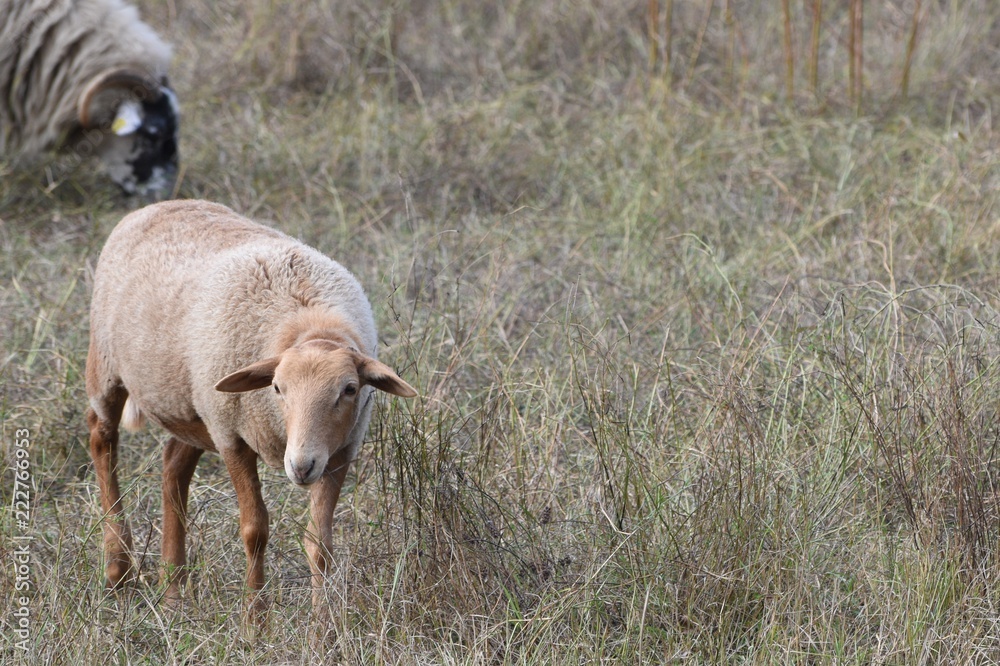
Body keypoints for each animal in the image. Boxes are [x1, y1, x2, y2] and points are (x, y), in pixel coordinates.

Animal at [83, 198, 418, 612]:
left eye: (351, 389)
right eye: (276, 387)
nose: (301, 465)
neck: (310, 324)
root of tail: (162, 204)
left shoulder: (340, 449)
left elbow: (320, 542)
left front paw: (324, 625)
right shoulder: (232, 438)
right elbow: (254, 531)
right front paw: (255, 620)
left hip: (193, 405)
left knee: (173, 466)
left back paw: (173, 590)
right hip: (108, 367)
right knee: (102, 441)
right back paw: (119, 568)